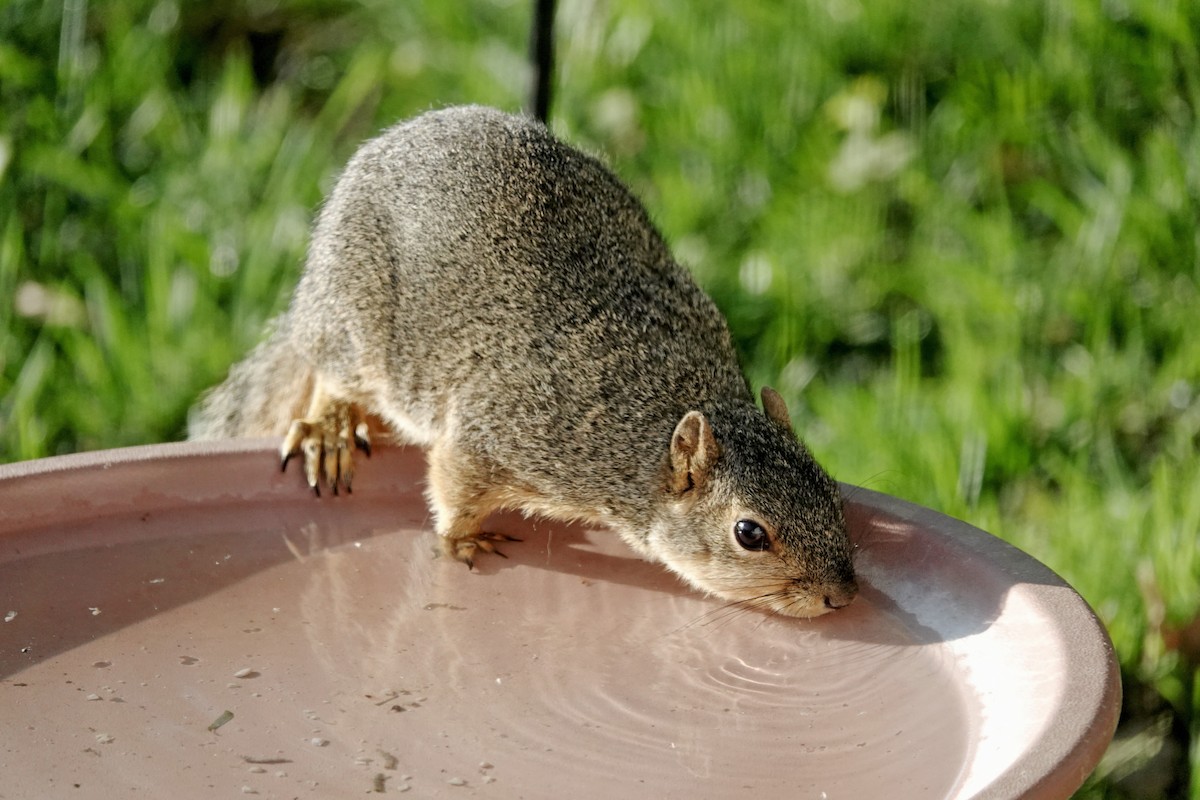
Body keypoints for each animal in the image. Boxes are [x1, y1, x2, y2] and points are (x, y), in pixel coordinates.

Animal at [189, 105, 857, 617]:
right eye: (750, 534)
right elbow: (453, 482)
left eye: (831, 488)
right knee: (333, 376)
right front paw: (463, 541)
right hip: (352, 321)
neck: (665, 406)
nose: (843, 595)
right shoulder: (501, 434)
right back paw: (330, 427)